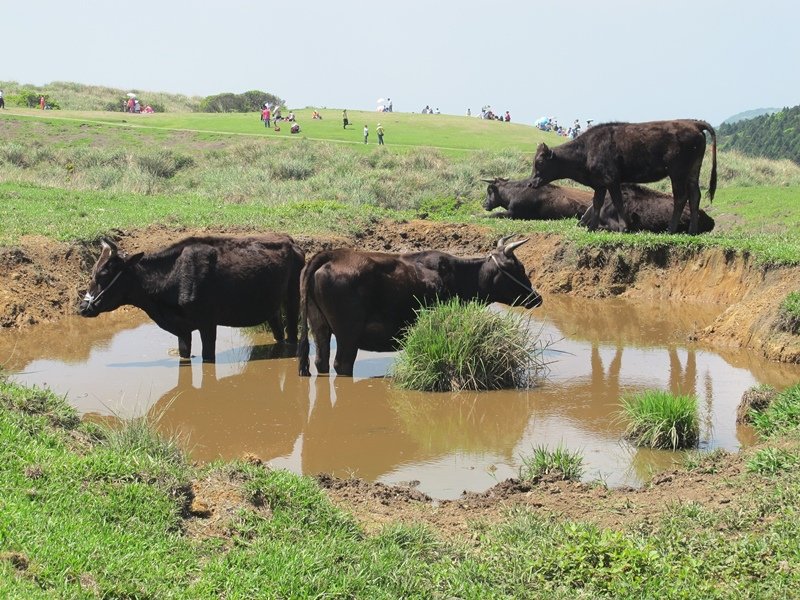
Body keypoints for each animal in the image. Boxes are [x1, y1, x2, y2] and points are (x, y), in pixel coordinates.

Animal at [80, 234, 306, 360]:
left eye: (103, 274)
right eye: (92, 272)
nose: (82, 307)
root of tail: (290, 241)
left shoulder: (208, 324)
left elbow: (208, 357)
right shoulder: (182, 329)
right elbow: (184, 354)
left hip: (293, 298)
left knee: (292, 334)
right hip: (271, 306)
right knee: (278, 333)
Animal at [300, 237, 544, 378]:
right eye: (519, 268)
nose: (537, 298)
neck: (457, 275)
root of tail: (331, 255)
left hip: (319, 326)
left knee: (321, 360)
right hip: (348, 333)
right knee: (342, 364)